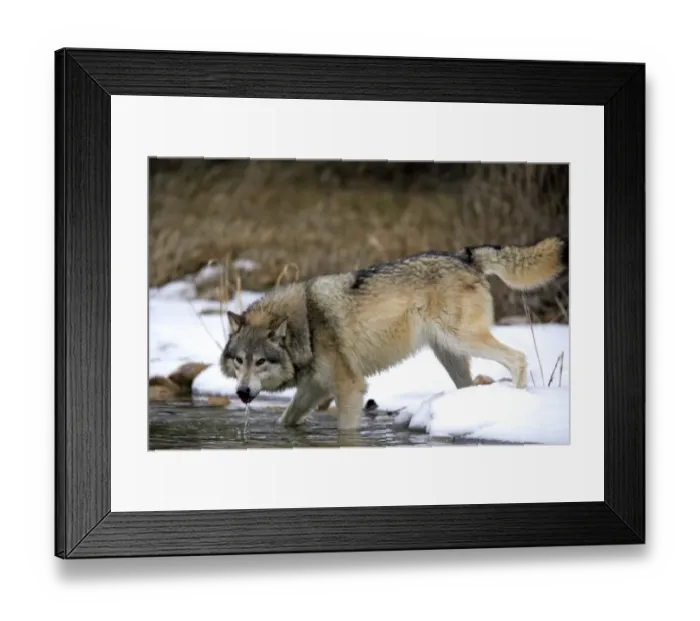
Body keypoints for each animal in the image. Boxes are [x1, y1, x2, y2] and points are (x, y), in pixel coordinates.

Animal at [220, 236, 568, 431]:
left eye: (260, 362)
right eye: (239, 361)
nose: (242, 392)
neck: (306, 325)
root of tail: (464, 256)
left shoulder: (350, 387)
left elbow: (346, 430)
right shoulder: (314, 388)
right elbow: (286, 419)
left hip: (463, 340)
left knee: (518, 358)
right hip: (451, 353)